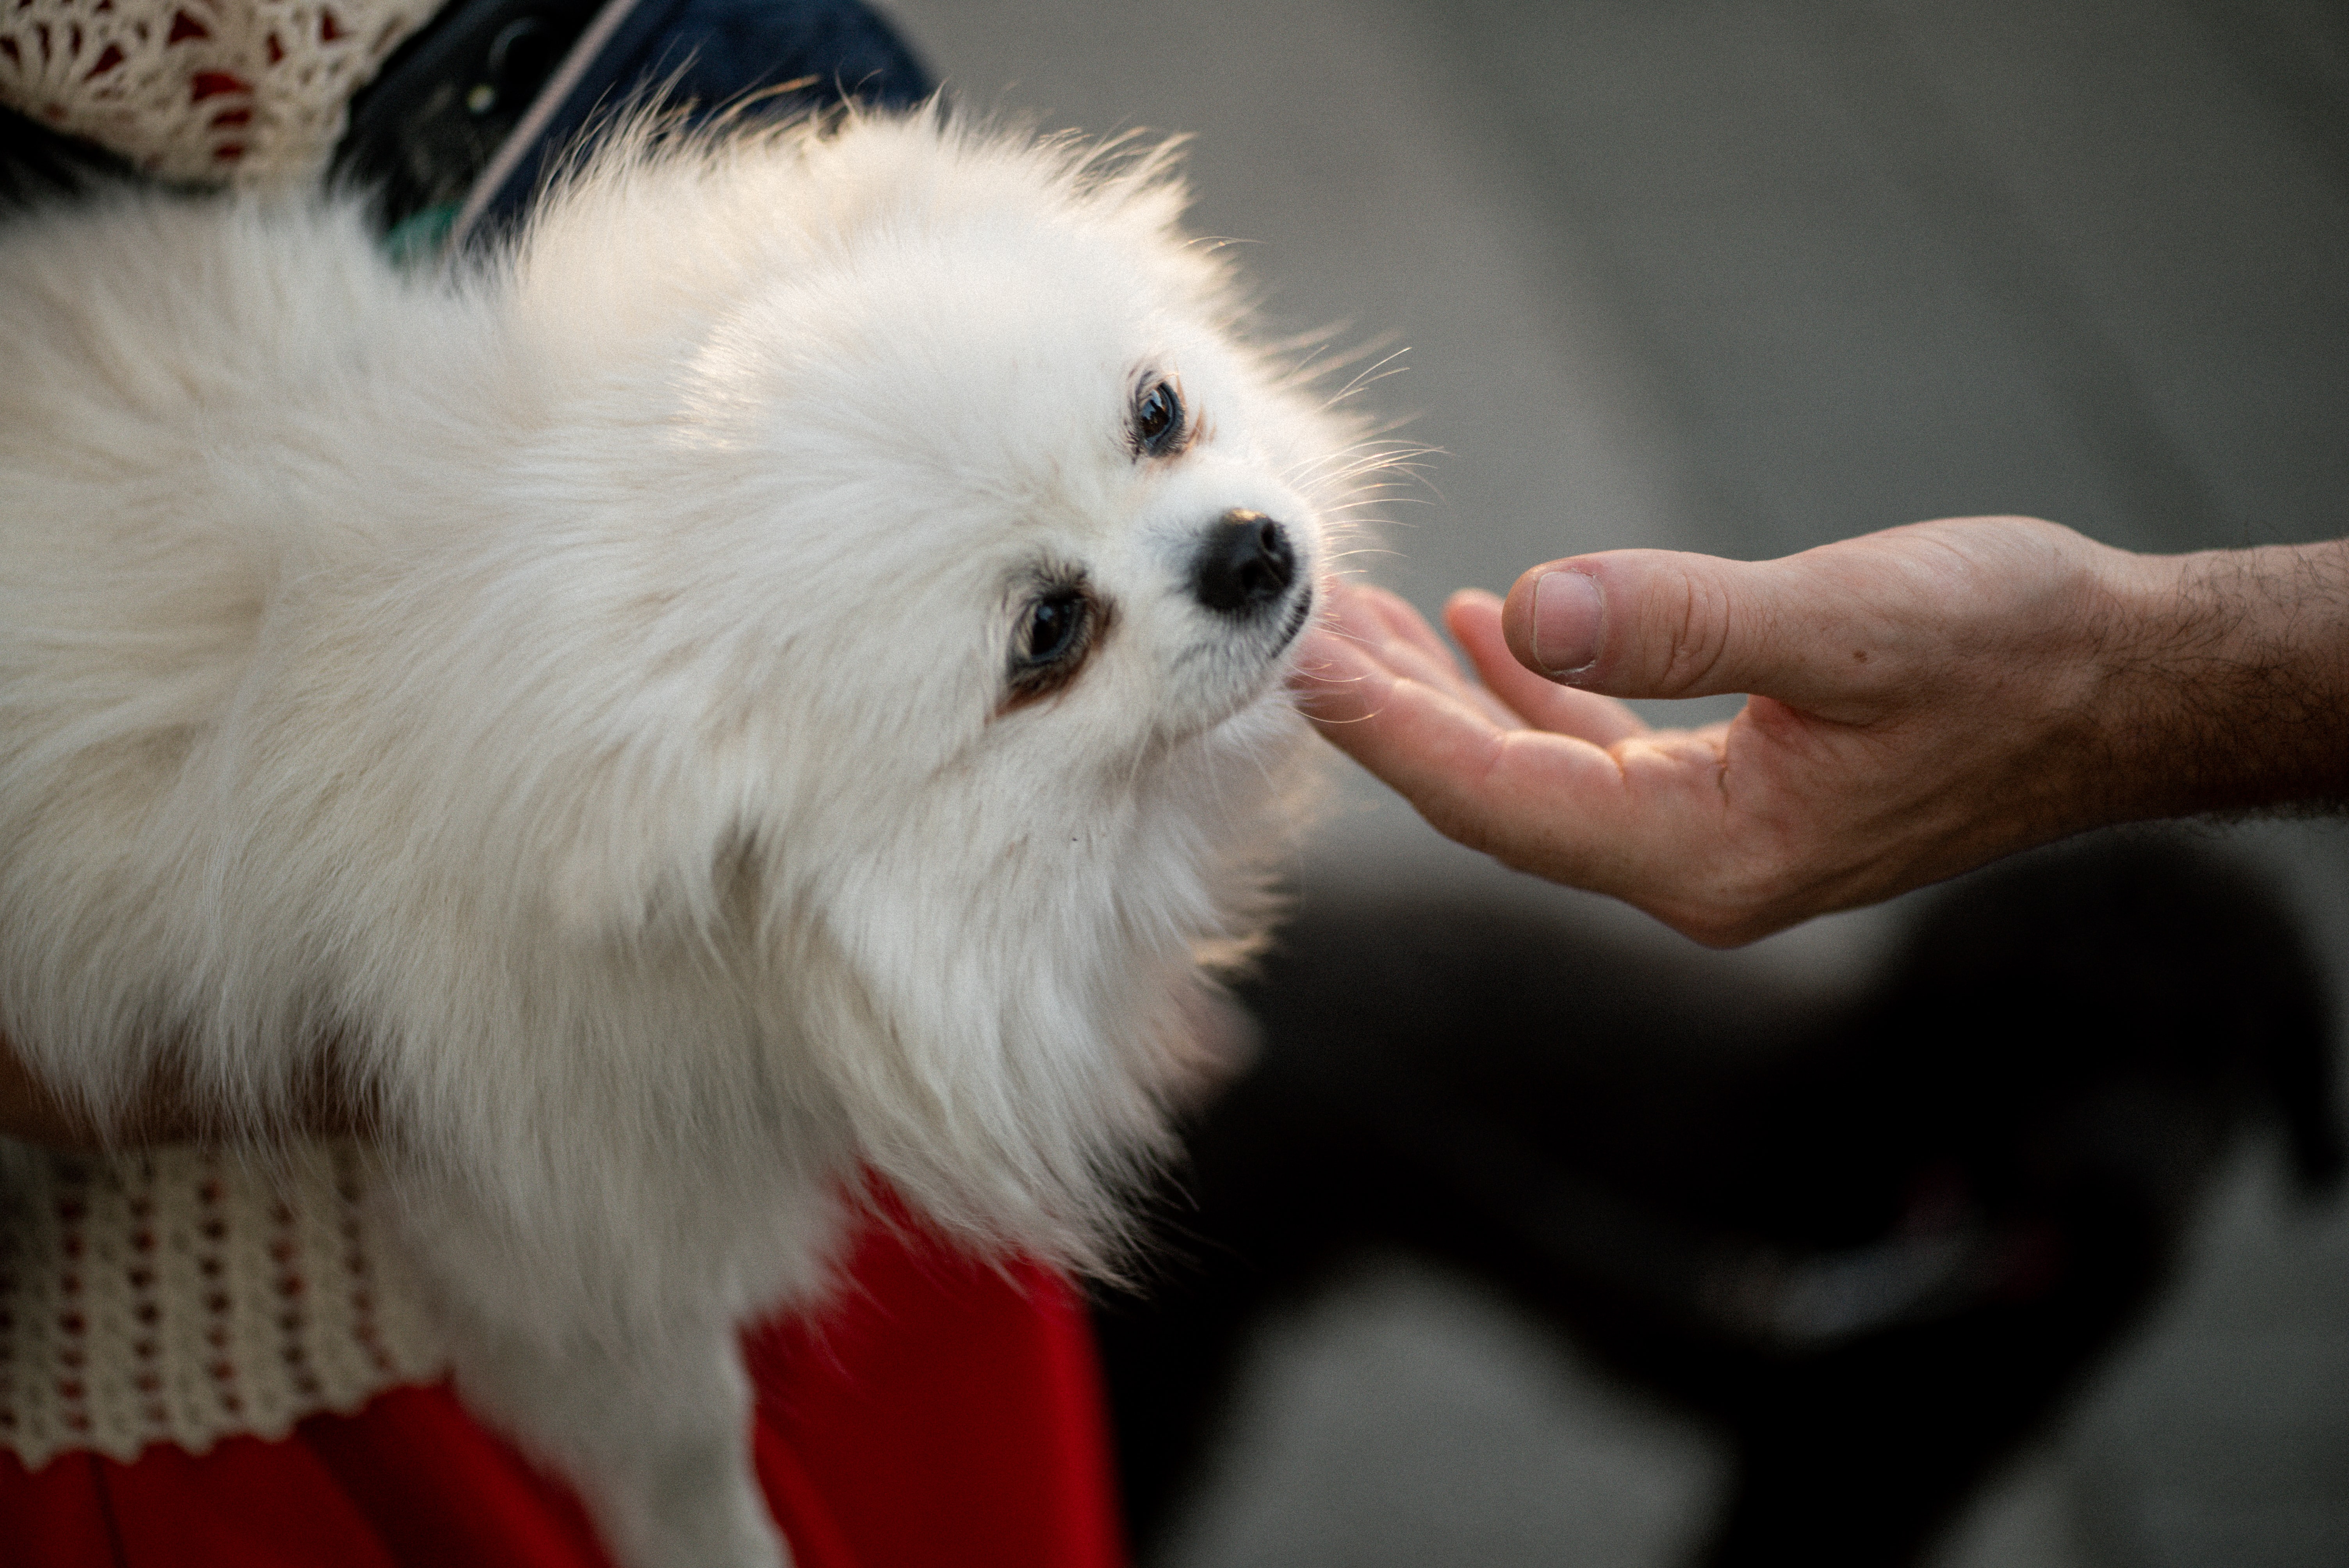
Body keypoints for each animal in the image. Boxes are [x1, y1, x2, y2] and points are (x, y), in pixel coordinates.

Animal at [0, 110, 1372, 1568]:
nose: (1250, 552)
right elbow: (679, 1436)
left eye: (1155, 412)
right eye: (1047, 633)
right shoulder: (554, 1228)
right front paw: (732, 1540)